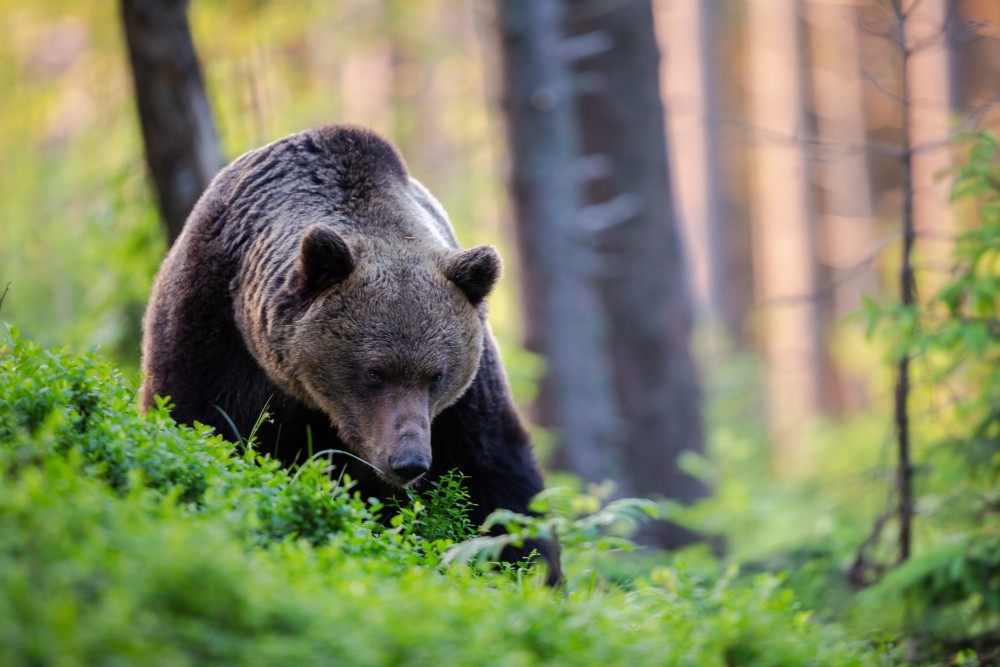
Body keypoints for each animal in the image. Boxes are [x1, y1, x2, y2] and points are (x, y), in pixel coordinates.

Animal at [143, 125, 556, 580]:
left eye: (436, 375)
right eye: (375, 371)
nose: (409, 461)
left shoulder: (465, 402)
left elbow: (496, 476)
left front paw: (530, 567)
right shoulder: (212, 330)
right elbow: (196, 420)